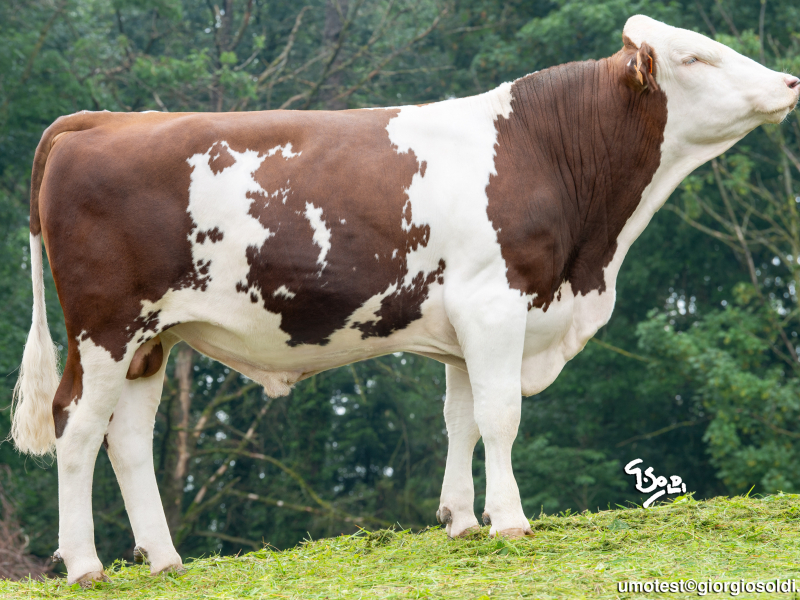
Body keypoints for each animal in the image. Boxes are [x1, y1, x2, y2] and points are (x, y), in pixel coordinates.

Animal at [9, 14, 799, 586]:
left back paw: (165, 560)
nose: (791, 81)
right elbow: (500, 415)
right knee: (76, 427)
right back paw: (85, 565)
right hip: (106, 327)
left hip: (154, 339)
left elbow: (461, 420)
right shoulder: (495, 304)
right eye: (696, 59)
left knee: (128, 439)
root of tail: (102, 120)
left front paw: (462, 520)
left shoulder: (464, 322)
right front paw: (510, 521)